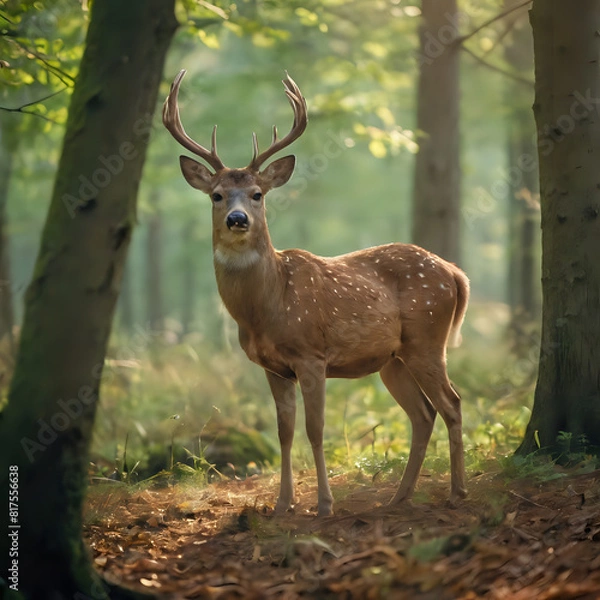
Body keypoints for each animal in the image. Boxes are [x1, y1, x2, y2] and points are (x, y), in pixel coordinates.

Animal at [163, 70, 468, 516]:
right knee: (424, 414)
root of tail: (454, 272)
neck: (267, 309)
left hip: (427, 337)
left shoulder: (312, 354)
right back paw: (400, 496)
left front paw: (323, 504)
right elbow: (284, 432)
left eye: (258, 194)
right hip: (392, 359)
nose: (237, 219)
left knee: (451, 403)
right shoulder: (273, 367)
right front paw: (282, 504)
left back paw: (457, 492)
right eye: (216, 195)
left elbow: (316, 429)